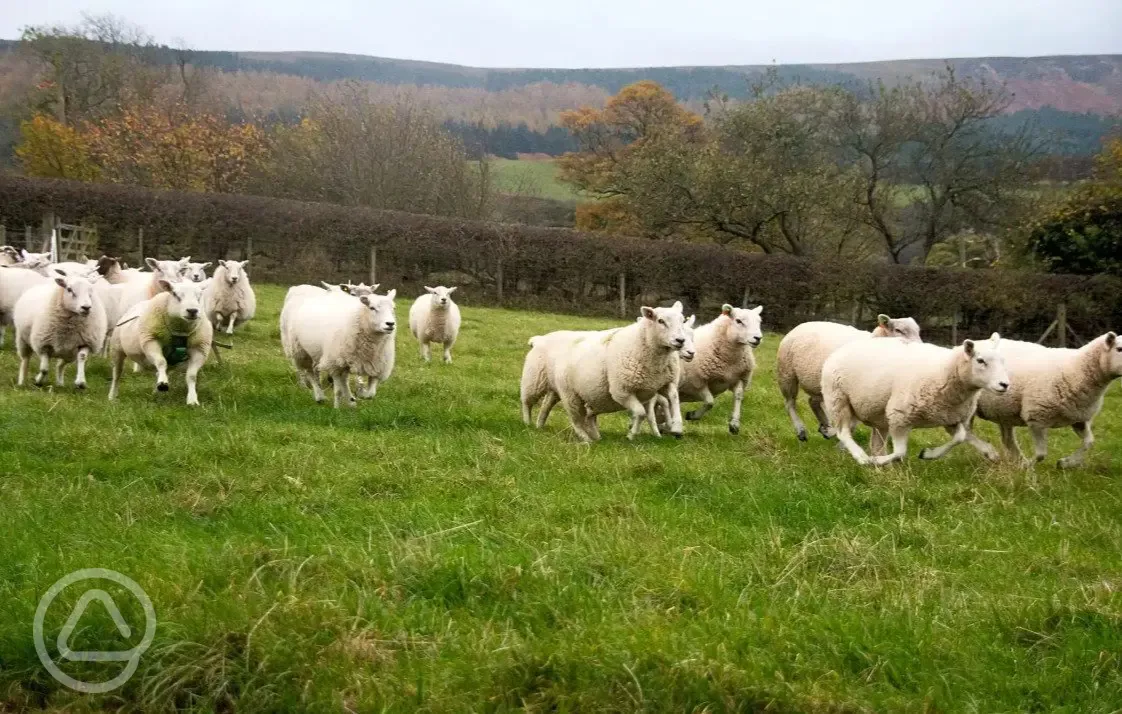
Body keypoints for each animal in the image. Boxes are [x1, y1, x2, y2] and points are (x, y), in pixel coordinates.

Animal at [109, 276, 214, 404]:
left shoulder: (200, 348)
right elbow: (160, 362)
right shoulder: (150, 340)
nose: (192, 311)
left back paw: (157, 392)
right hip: (116, 349)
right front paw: (163, 384)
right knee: (117, 374)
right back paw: (112, 396)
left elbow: (192, 376)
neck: (180, 330)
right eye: (175, 294)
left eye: (199, 296)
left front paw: (192, 399)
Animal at [549, 300, 682, 440]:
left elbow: (674, 398)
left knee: (589, 417)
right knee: (576, 420)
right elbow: (641, 413)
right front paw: (631, 435)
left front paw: (676, 427)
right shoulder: (621, 392)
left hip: (595, 400)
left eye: (682, 320)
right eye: (660, 321)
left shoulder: (667, 383)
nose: (680, 340)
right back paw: (586, 439)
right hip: (570, 396)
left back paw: (597, 438)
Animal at [776, 314, 924, 440]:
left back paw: (825, 427)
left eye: (918, 331)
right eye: (898, 330)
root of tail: (801, 325)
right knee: (790, 403)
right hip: (786, 373)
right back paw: (801, 430)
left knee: (813, 402)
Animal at [821, 336, 1014, 469]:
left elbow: (960, 437)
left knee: (876, 442)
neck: (945, 370)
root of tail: (842, 349)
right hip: (837, 399)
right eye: (980, 360)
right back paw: (862, 457)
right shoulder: (899, 416)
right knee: (843, 432)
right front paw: (875, 461)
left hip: (877, 414)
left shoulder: (951, 417)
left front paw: (928, 454)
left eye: (1003, 361)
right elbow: (900, 452)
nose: (1004, 384)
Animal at [964, 332, 1122, 469]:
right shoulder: (1036, 418)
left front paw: (1066, 463)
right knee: (966, 433)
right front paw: (1028, 466)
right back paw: (991, 453)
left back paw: (1017, 460)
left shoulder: (1079, 418)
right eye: (1119, 349)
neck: (1077, 368)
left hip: (1003, 410)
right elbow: (1041, 454)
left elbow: (1089, 442)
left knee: (1007, 439)